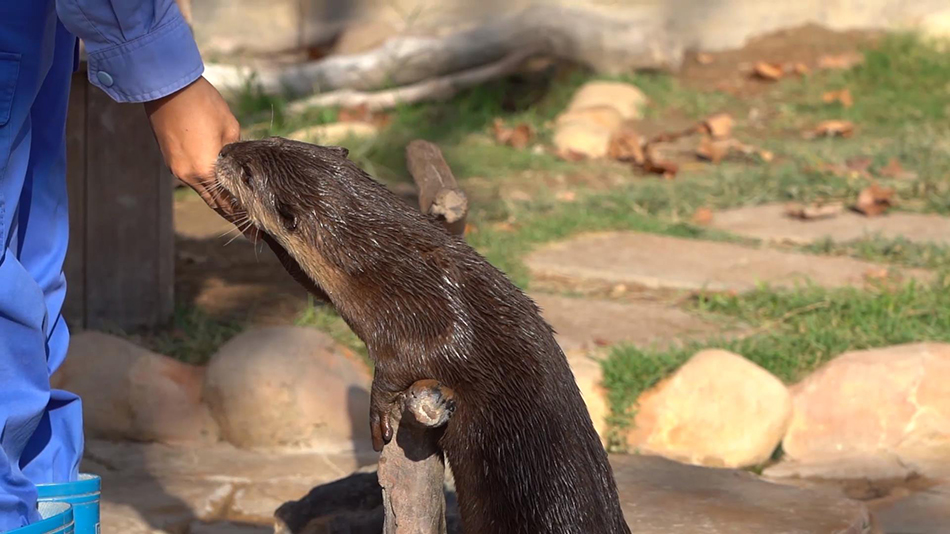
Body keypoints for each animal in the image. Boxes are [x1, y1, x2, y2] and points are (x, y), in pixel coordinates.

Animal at [216, 139, 632, 534]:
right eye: (268, 138)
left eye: (247, 172)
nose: (223, 151)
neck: (387, 263)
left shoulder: (428, 311)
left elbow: (421, 357)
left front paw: (378, 408)